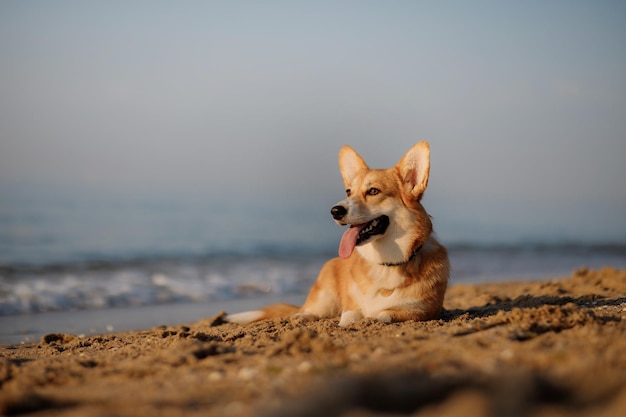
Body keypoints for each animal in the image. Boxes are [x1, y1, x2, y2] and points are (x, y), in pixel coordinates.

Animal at [224, 141, 448, 326]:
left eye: (373, 191)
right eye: (348, 191)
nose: (335, 211)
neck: (386, 264)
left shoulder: (421, 311)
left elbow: (385, 313)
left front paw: (373, 316)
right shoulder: (350, 303)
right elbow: (350, 314)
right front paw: (349, 321)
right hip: (324, 297)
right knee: (310, 311)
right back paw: (301, 316)